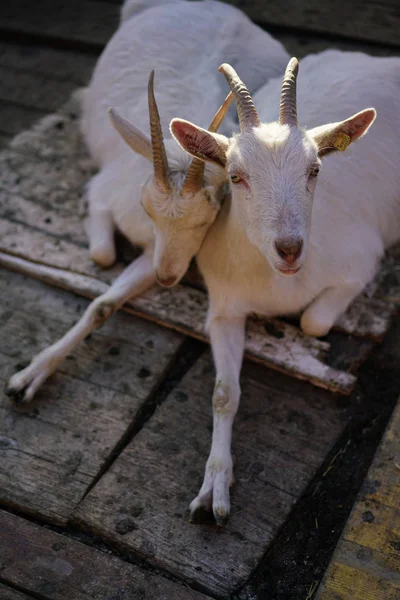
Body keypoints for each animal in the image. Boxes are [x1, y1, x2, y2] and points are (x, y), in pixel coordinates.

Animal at [5, 1, 288, 404]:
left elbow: (107, 294)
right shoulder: (114, 200)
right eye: (148, 211)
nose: (166, 278)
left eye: (207, 218)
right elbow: (103, 271)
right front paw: (27, 377)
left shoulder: (161, 252)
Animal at [171, 51, 400, 524]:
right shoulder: (223, 308)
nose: (291, 249)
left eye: (315, 170)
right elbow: (223, 394)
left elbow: (313, 322)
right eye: (235, 176)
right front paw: (213, 489)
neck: (273, 281)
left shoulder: (362, 260)